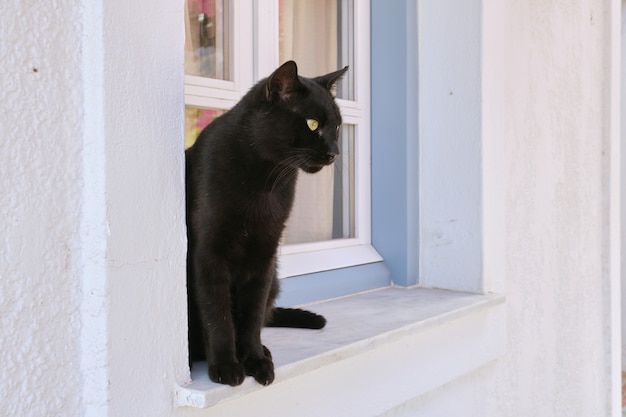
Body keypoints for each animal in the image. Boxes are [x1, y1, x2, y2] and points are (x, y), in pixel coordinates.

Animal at [185, 60, 346, 386]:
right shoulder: (208, 254)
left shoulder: (264, 255)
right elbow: (217, 313)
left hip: (275, 276)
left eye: (336, 126)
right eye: (312, 124)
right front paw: (226, 366)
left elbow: (253, 314)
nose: (334, 153)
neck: (264, 180)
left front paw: (255, 360)